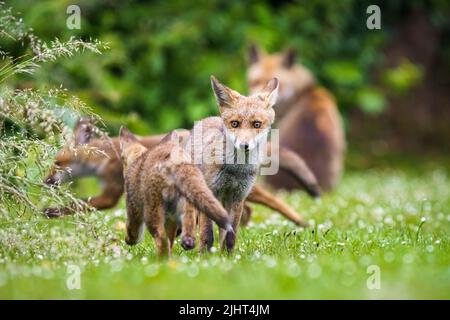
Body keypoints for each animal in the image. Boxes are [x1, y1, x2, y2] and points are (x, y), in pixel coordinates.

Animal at [118, 127, 232, 258]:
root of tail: (176, 160)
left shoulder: (133, 210)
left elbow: (132, 233)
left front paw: (128, 241)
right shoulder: (170, 220)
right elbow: (171, 241)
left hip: (152, 213)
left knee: (161, 240)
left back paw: (162, 261)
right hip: (188, 204)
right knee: (188, 230)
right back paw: (186, 243)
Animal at [184, 75, 282, 252]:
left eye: (257, 124)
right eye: (235, 123)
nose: (244, 145)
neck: (235, 170)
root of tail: (208, 118)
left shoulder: (238, 197)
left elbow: (231, 235)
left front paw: (227, 256)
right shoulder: (210, 192)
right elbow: (207, 234)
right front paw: (204, 256)